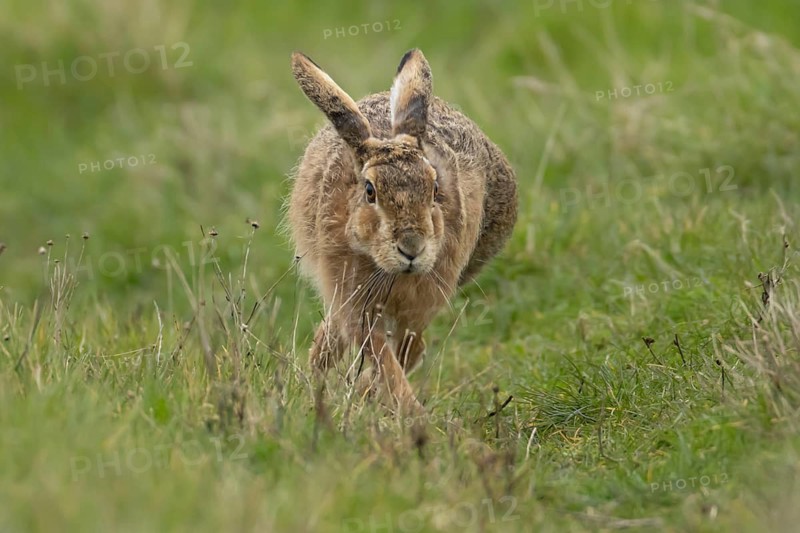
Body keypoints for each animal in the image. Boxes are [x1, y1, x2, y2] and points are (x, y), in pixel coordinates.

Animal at [287, 48, 517, 413]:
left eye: (435, 188)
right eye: (370, 191)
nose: (412, 248)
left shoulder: (421, 301)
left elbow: (404, 353)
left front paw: (383, 399)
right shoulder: (356, 302)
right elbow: (382, 356)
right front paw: (410, 411)